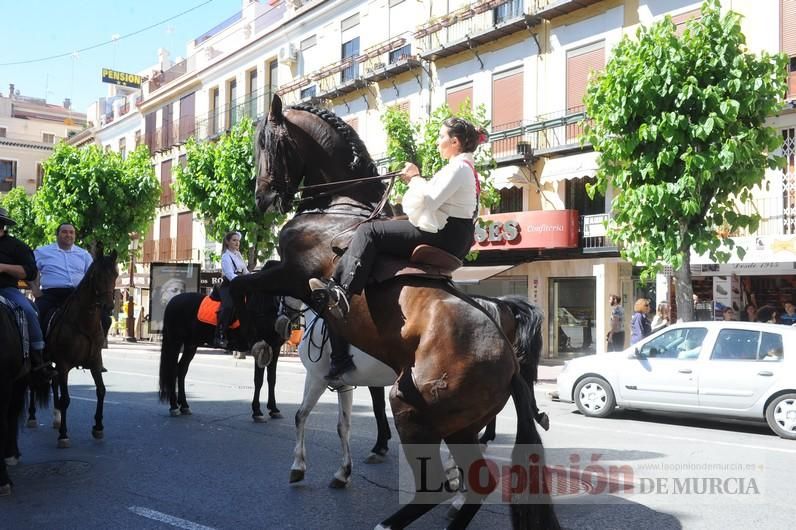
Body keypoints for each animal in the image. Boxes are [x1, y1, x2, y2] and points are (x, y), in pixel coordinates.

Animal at [45, 245, 118, 448]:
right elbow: (66, 399)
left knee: (53, 382)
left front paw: (98, 426)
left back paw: (56, 417)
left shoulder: (95, 362)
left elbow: (101, 391)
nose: (108, 307)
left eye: (115, 274)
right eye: (96, 275)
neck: (84, 324)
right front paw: (63, 434)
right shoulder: (63, 365)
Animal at [230, 96, 560, 528]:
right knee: (475, 482)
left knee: (438, 483)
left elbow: (241, 283)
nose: (263, 199)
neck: (343, 208)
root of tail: (509, 363)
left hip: (411, 407)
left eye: (269, 142)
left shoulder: (293, 275)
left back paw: (390, 522)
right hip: (458, 425)